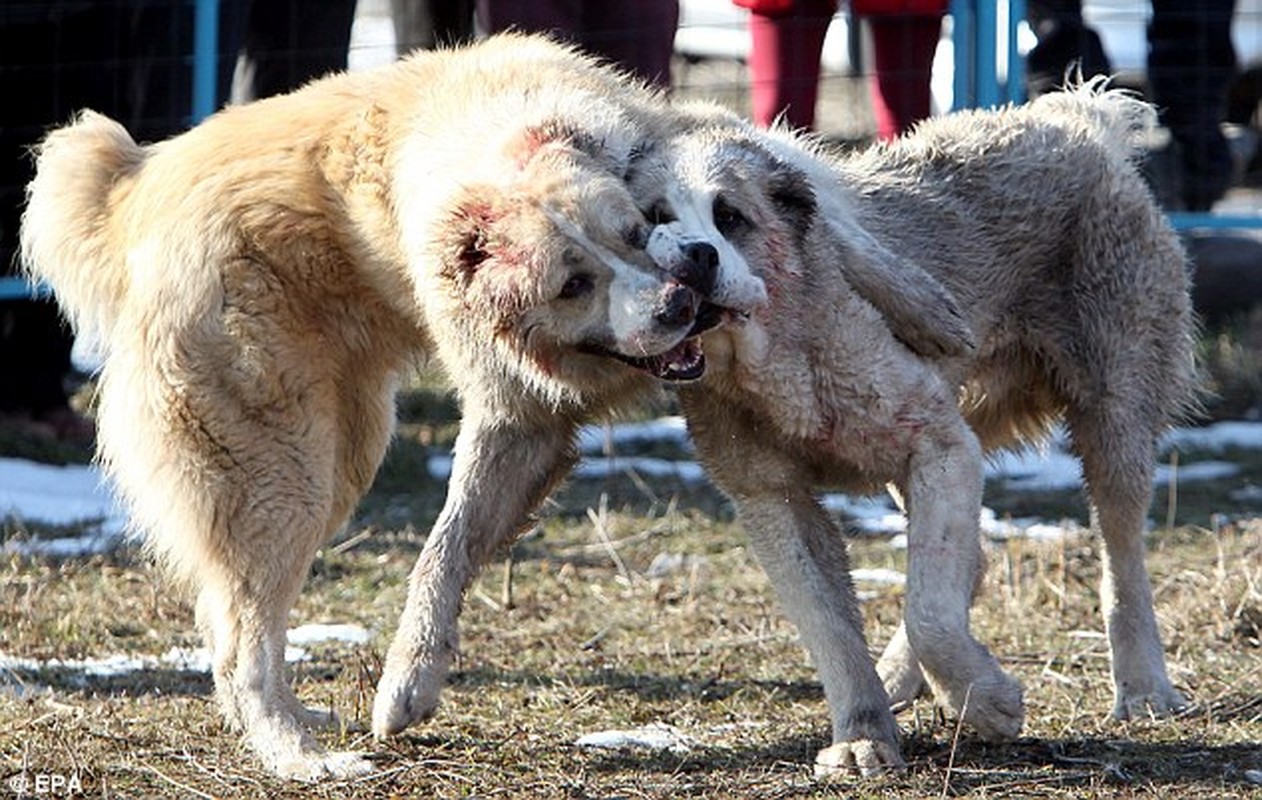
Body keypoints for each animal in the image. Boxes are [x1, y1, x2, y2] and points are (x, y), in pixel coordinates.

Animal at [656, 85, 1196, 772]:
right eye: (651, 220)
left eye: (729, 217)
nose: (694, 258)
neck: (777, 356)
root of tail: (1075, 118)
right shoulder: (772, 502)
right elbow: (832, 629)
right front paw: (862, 734)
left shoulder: (939, 446)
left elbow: (929, 613)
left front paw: (989, 703)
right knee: (975, 558)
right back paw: (895, 679)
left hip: (1113, 414)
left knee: (1119, 554)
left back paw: (1143, 687)